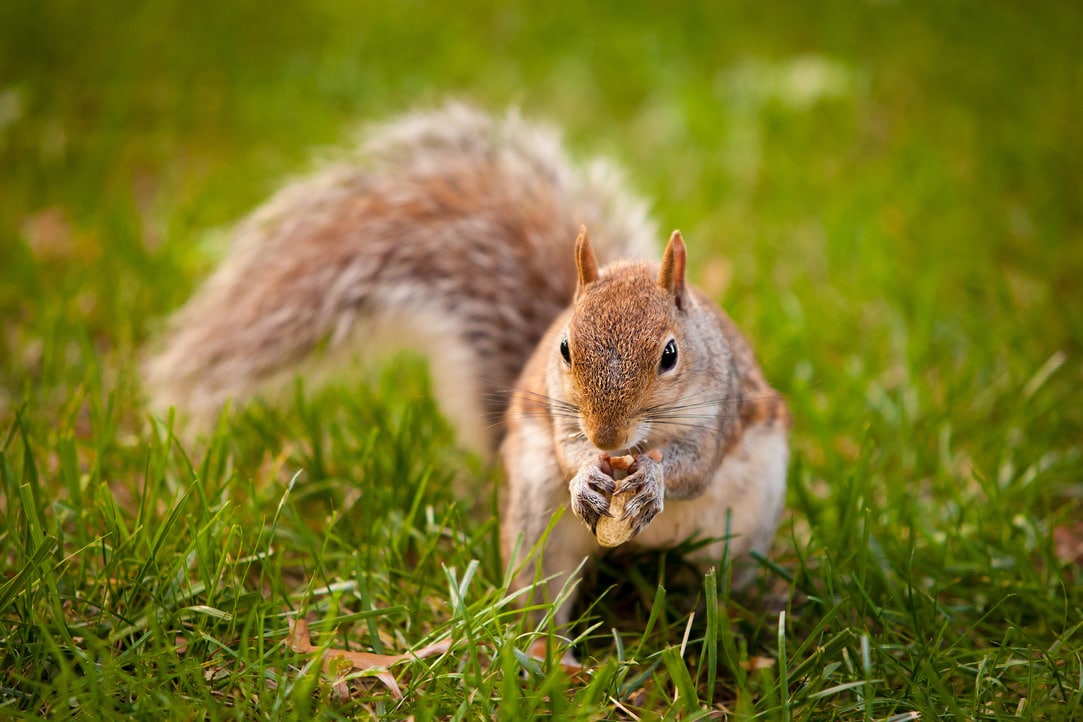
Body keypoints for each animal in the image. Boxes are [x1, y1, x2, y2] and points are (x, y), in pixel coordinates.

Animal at [145, 103, 790, 632]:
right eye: (563, 348)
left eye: (670, 354)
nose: (607, 437)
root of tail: (628, 555)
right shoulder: (557, 413)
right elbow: (567, 450)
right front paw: (587, 473)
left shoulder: (722, 407)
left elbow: (695, 466)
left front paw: (653, 478)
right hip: (534, 519)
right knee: (543, 591)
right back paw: (546, 655)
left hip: (740, 530)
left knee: (717, 577)